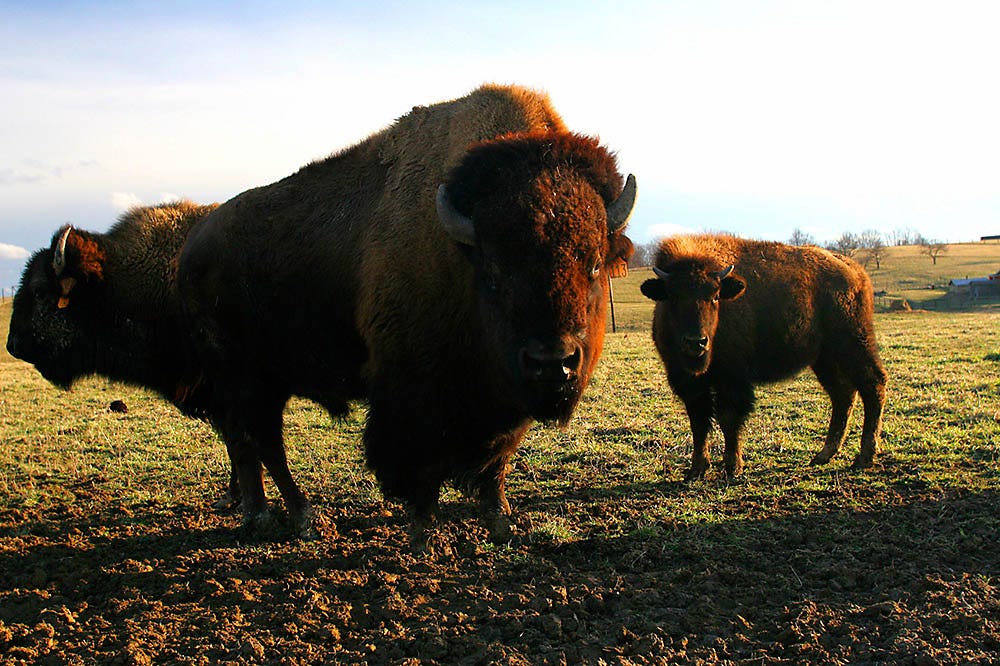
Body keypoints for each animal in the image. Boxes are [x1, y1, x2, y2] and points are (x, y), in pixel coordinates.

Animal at [176, 84, 636, 544]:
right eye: (493, 271)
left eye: (595, 263)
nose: (553, 362)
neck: (458, 254)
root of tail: (192, 249)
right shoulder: (413, 392)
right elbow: (420, 467)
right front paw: (422, 532)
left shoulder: (503, 401)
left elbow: (495, 462)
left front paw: (500, 522)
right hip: (245, 379)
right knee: (259, 442)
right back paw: (288, 516)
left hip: (263, 381)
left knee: (250, 443)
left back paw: (272, 515)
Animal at [636, 233, 888, 478]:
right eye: (672, 296)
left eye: (715, 296)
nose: (696, 342)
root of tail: (854, 270)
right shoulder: (688, 383)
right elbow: (699, 423)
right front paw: (696, 469)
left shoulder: (732, 379)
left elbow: (728, 418)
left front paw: (733, 467)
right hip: (825, 359)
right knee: (843, 394)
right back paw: (823, 455)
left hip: (853, 344)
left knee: (873, 384)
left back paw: (863, 458)